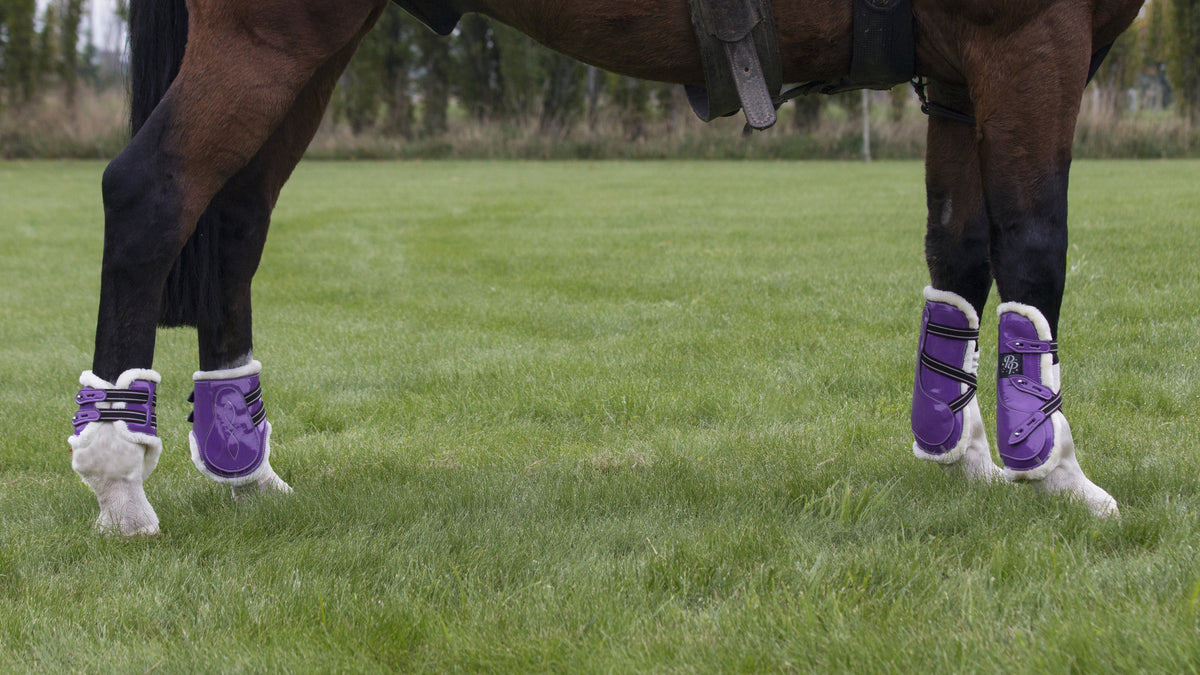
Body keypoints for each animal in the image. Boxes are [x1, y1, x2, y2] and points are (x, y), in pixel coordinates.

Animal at [68, 1, 1142, 535]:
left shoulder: (960, 72)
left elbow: (960, 248)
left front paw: (962, 449)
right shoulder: (1029, 38)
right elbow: (1035, 244)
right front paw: (1054, 467)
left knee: (235, 218)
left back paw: (242, 461)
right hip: (273, 34)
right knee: (152, 196)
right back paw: (118, 471)